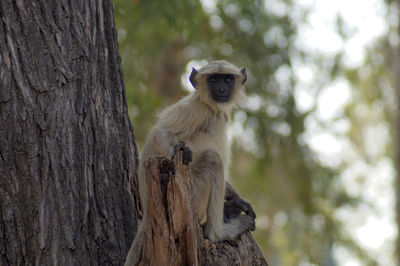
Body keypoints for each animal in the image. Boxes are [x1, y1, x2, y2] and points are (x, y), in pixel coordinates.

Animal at [125, 60, 256, 266]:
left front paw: (240, 200)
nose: (221, 89)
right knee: (213, 159)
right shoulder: (196, 109)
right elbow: (158, 133)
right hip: (194, 194)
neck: (212, 109)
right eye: (213, 79)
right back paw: (218, 233)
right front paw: (179, 151)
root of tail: (146, 212)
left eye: (227, 79)